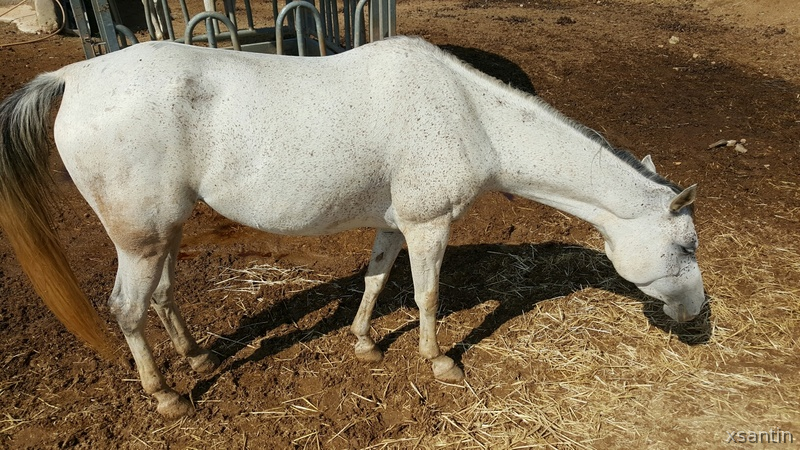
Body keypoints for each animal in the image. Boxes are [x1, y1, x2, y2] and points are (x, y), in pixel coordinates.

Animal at [0, 36, 705, 418]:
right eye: (685, 244)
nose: (698, 318)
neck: (469, 115)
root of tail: (74, 76)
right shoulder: (428, 226)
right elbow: (426, 295)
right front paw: (439, 362)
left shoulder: (396, 226)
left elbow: (375, 282)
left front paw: (366, 343)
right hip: (140, 239)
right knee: (127, 309)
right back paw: (167, 396)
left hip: (164, 231)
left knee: (163, 296)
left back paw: (198, 357)